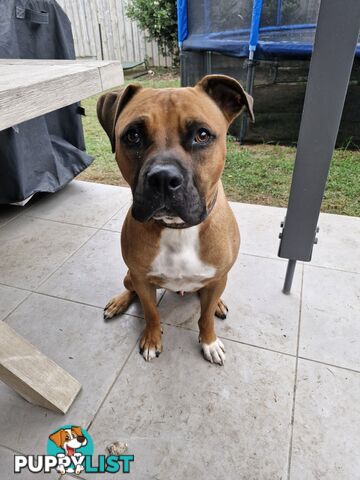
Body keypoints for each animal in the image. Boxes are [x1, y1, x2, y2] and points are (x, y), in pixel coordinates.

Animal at [96, 75, 253, 366]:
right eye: (133, 136)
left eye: (202, 135)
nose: (162, 178)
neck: (177, 229)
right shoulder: (143, 280)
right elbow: (151, 313)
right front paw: (151, 339)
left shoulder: (217, 279)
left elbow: (204, 317)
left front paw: (209, 341)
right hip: (130, 276)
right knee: (130, 288)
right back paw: (119, 302)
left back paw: (218, 305)